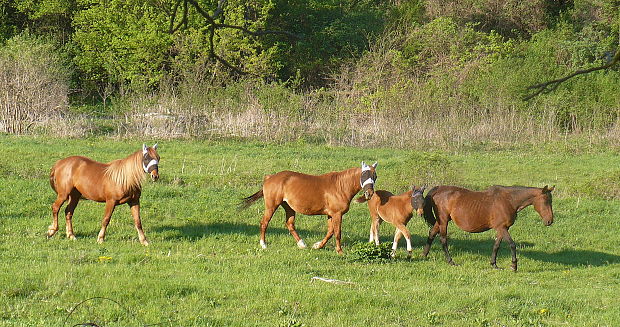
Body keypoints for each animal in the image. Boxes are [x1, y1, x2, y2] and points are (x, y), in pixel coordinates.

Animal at [241, 163, 378, 255]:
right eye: (364, 174)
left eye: (375, 176)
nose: (369, 193)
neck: (340, 186)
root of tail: (269, 177)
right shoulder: (337, 214)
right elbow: (337, 233)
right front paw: (340, 251)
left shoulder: (331, 214)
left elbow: (330, 232)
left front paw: (317, 246)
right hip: (271, 205)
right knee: (264, 223)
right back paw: (263, 244)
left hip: (288, 207)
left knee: (289, 224)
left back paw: (302, 244)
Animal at [424, 186, 556, 270]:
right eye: (545, 201)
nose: (549, 221)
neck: (509, 200)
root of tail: (439, 189)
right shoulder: (502, 228)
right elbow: (512, 244)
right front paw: (514, 265)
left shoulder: (501, 229)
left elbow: (496, 246)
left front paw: (494, 264)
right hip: (443, 221)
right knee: (443, 239)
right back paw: (450, 261)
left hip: (440, 221)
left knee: (431, 233)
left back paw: (424, 255)